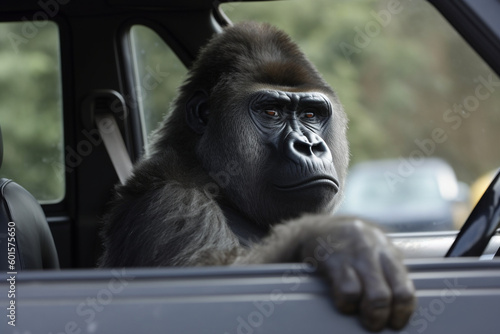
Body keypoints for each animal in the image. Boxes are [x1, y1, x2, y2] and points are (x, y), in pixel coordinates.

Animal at [99, 21, 416, 332]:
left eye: (311, 114)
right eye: (271, 112)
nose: (308, 145)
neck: (209, 175)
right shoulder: (173, 203)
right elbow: (203, 278)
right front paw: (339, 238)